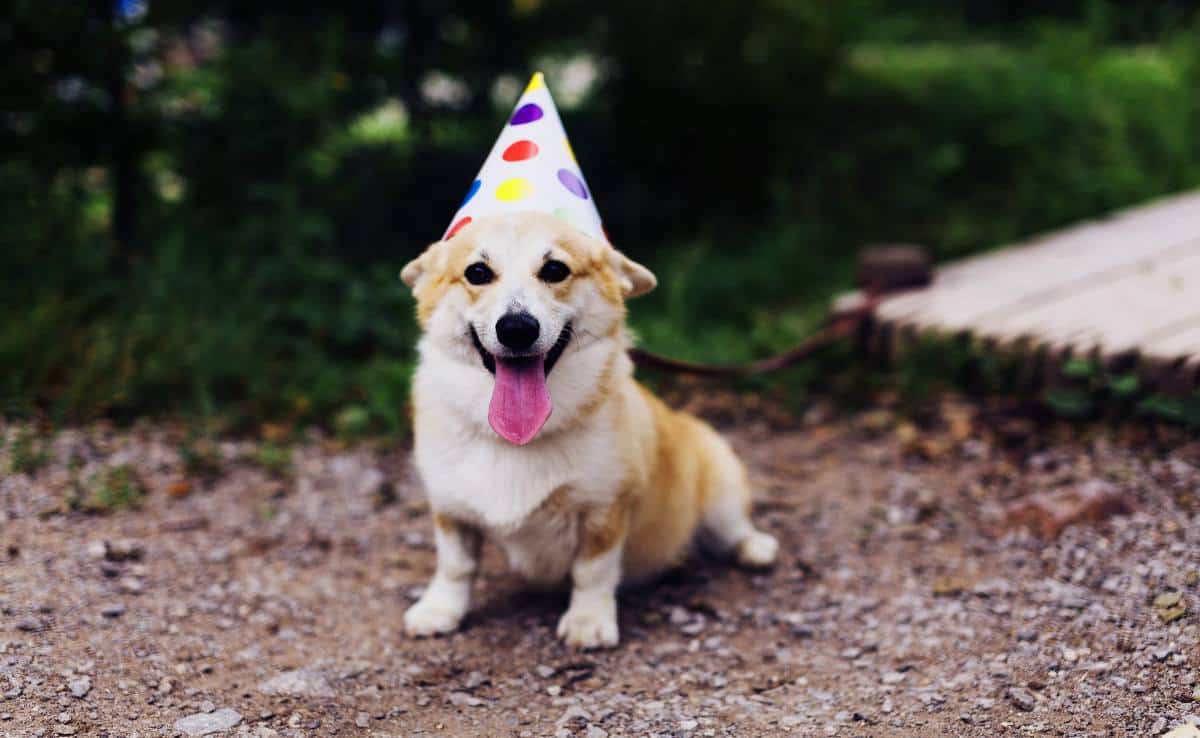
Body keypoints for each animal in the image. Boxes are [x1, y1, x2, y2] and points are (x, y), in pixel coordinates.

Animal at [398, 211, 782, 648]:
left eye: (554, 269)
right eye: (477, 272)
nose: (517, 328)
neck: (517, 440)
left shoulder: (604, 510)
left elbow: (592, 571)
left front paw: (587, 622)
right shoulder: (450, 511)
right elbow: (455, 566)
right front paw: (439, 610)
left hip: (720, 491)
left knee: (733, 529)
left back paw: (756, 548)